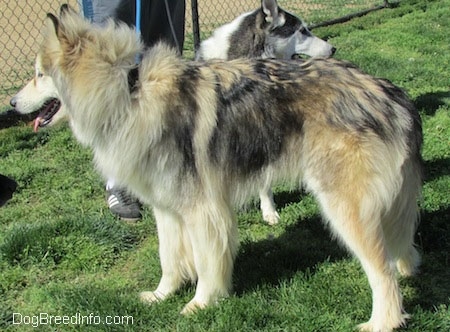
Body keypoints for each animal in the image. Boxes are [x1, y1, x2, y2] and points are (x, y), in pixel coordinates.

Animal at [40, 5, 424, 332]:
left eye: (39, 74)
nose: (14, 104)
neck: (131, 89)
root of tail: (393, 94)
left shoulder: (204, 211)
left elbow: (208, 264)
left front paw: (200, 304)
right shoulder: (167, 208)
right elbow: (169, 259)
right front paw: (161, 296)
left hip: (345, 209)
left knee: (382, 273)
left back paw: (382, 322)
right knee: (401, 249)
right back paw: (408, 267)